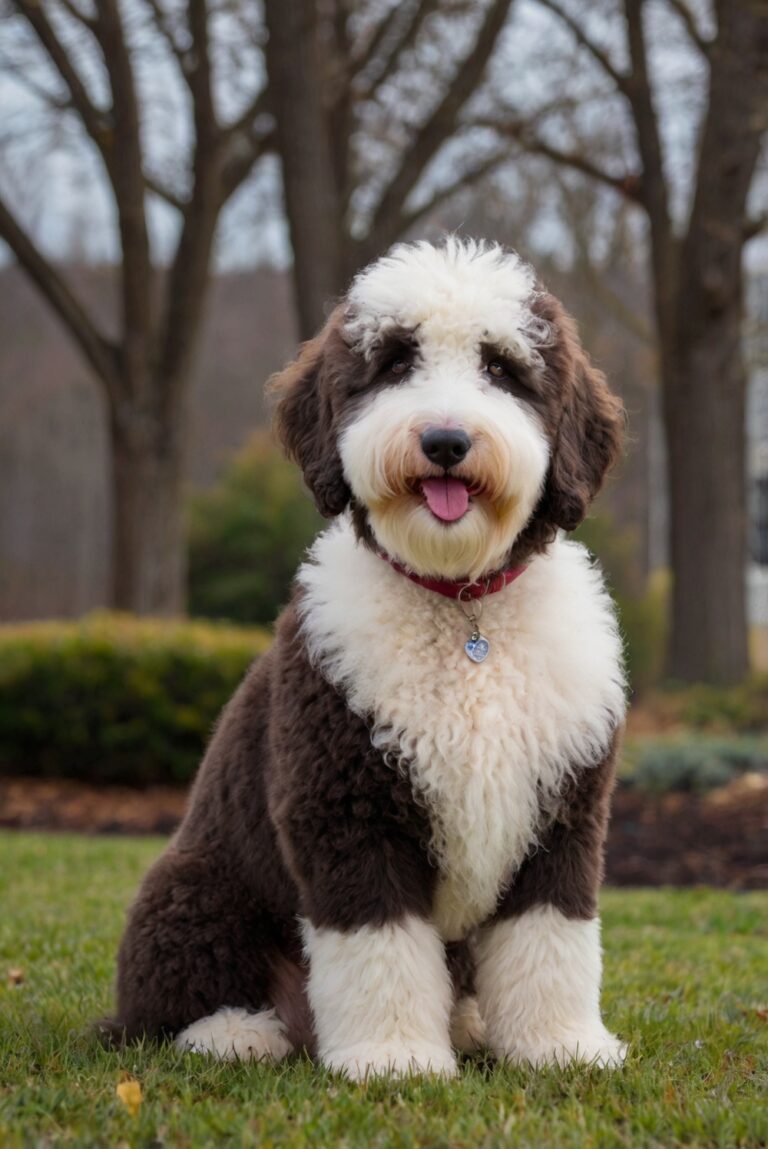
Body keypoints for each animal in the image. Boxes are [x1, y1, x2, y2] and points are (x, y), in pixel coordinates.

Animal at [108, 240, 625, 1075]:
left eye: (502, 367)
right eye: (393, 363)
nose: (445, 441)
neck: (463, 611)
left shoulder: (564, 813)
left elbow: (552, 937)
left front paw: (560, 1046)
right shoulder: (348, 809)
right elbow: (379, 947)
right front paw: (394, 1059)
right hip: (193, 885)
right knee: (166, 1005)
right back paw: (236, 1032)